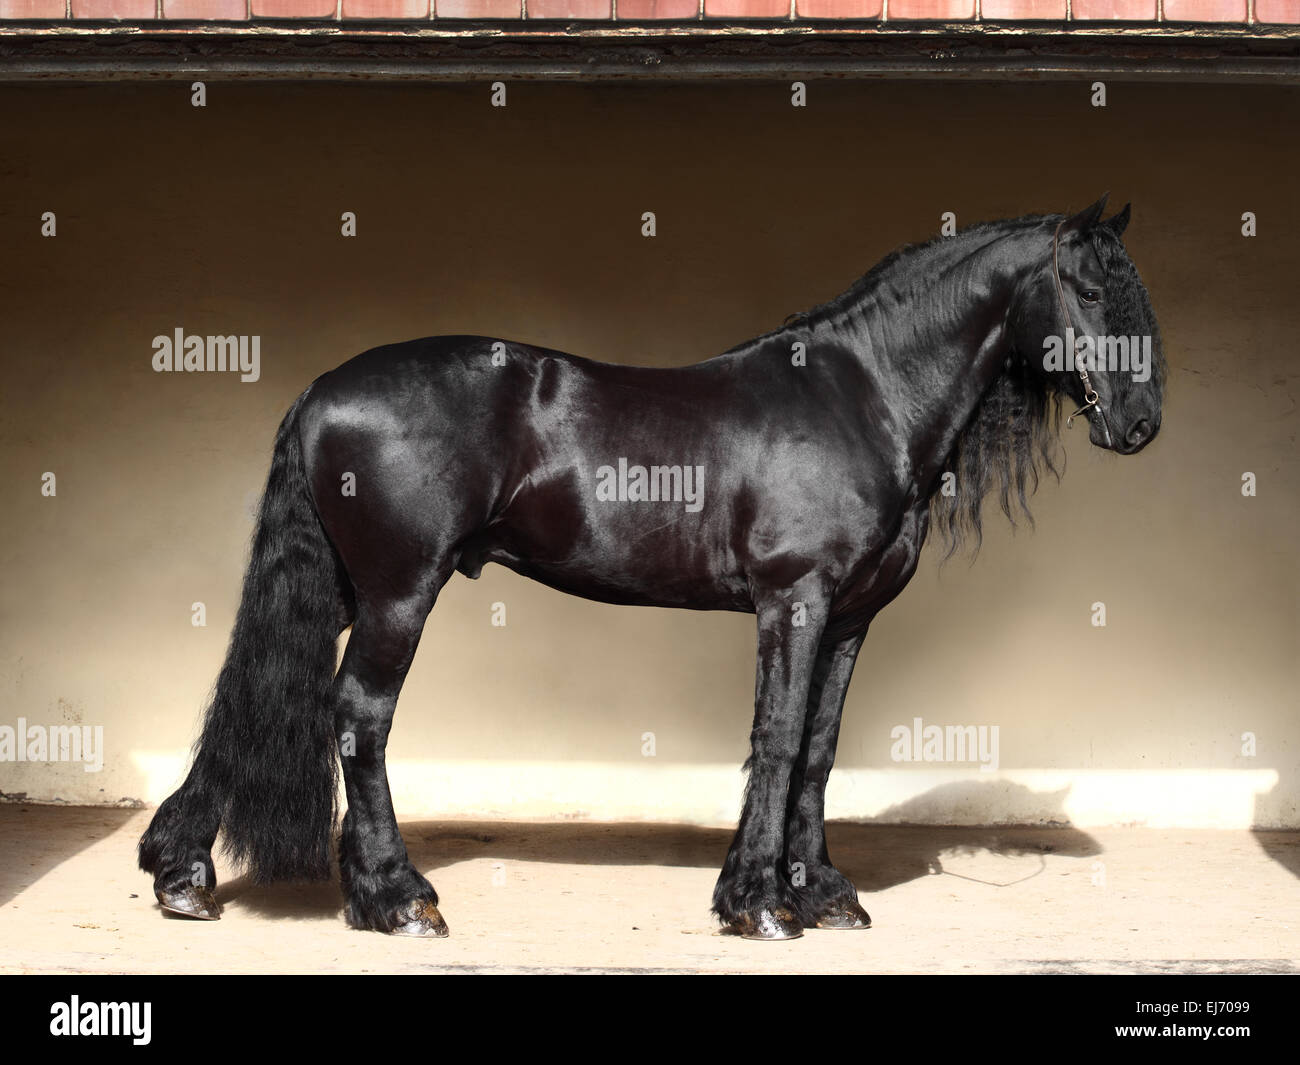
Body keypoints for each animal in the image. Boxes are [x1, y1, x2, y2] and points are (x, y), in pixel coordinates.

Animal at [139, 194, 1165, 941]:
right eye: (1085, 286)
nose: (1140, 421)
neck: (861, 395)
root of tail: (324, 387)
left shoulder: (849, 617)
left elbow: (822, 747)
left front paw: (824, 892)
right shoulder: (794, 602)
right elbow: (777, 739)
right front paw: (758, 903)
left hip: (351, 587)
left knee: (258, 692)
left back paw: (184, 873)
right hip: (399, 592)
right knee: (358, 716)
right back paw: (398, 898)